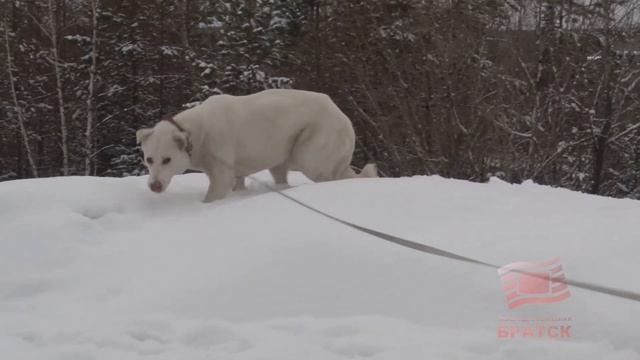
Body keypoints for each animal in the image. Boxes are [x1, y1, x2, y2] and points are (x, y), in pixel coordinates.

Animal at [135, 89, 376, 202]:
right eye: (149, 160)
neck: (196, 132)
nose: (154, 186)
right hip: (281, 160)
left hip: (310, 153)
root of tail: (343, 117)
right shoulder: (235, 173)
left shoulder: (221, 173)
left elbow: (213, 195)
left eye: (167, 160)